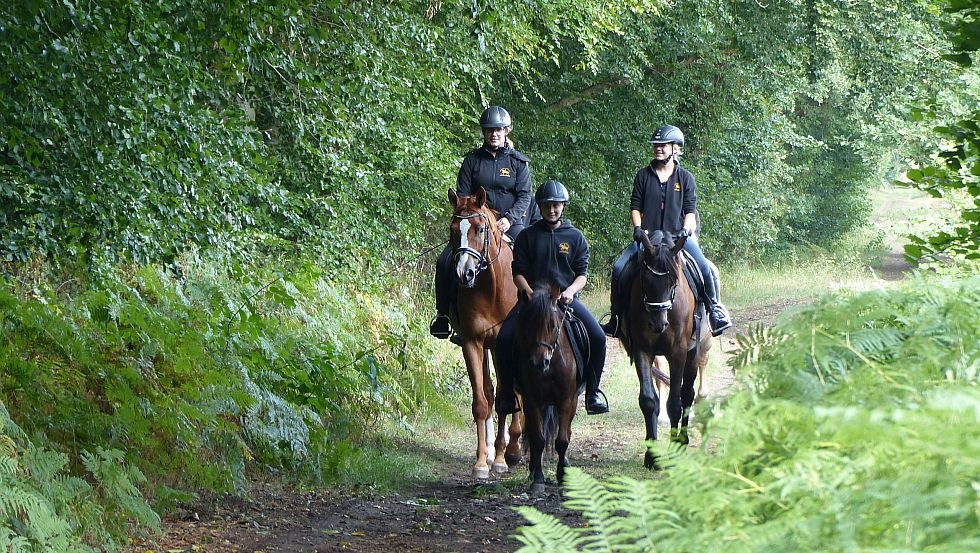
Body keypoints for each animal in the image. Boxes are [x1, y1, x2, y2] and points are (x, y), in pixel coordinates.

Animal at [448, 187, 524, 478]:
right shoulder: (472, 343)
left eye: (480, 229)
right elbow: (482, 401)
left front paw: (504, 458)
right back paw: (493, 450)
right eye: (453, 229)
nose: (464, 273)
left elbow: (506, 398)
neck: (491, 287)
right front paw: (482, 461)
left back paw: (513, 449)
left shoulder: (506, 346)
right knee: (491, 391)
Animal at [510, 284, 580, 492]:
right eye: (527, 326)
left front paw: (562, 475)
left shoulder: (566, 399)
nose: (540, 362)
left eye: (553, 325)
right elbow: (538, 440)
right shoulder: (532, 400)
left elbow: (562, 441)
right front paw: (538, 479)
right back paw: (533, 470)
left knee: (567, 431)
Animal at [624, 227, 708, 466]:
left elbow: (674, 404)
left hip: (693, 354)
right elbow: (648, 400)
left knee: (687, 394)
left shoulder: (677, 353)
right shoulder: (642, 350)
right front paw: (651, 455)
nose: (658, 324)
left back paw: (683, 440)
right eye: (645, 280)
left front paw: (674, 450)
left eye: (673, 282)